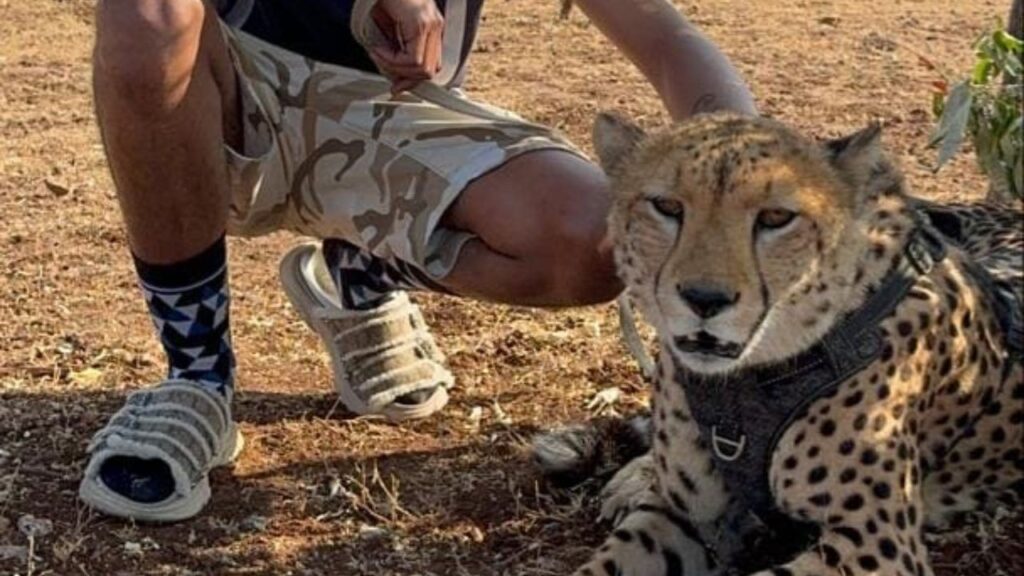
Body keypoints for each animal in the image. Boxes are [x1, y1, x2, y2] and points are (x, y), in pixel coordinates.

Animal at [534, 112, 1023, 576]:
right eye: (667, 207)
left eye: (775, 218)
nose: (704, 298)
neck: (745, 380)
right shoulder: (685, 516)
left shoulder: (875, 549)